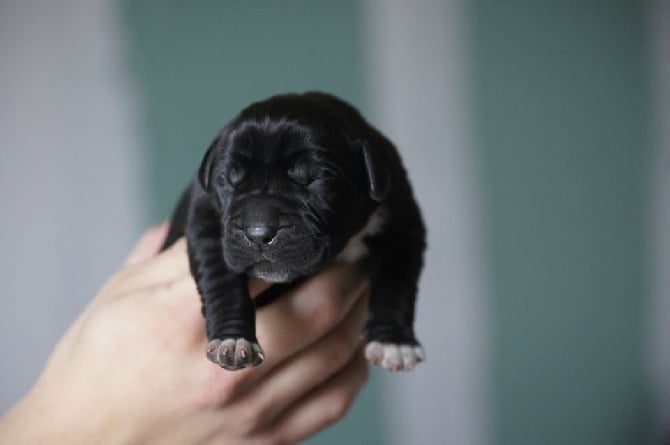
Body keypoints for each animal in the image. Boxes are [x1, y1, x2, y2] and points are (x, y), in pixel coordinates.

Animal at [164, 92, 426, 370]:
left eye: (316, 180)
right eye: (229, 179)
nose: (258, 233)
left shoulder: (402, 224)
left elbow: (395, 284)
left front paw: (394, 342)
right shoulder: (206, 220)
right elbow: (221, 279)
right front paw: (233, 339)